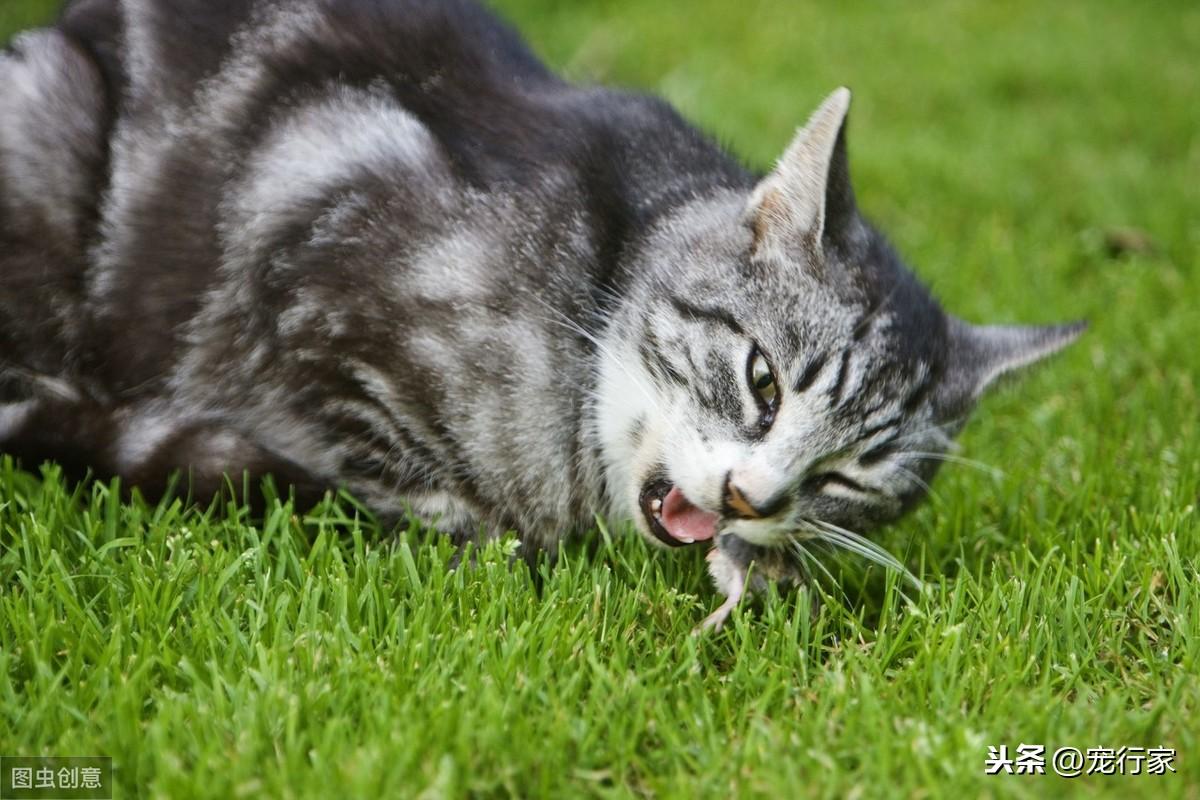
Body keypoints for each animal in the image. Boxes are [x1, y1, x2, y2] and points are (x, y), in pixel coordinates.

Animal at [0, 0, 1084, 628]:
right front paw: (472, 529)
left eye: (849, 476)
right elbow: (392, 459)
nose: (749, 500)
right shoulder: (308, 278)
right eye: (763, 380)